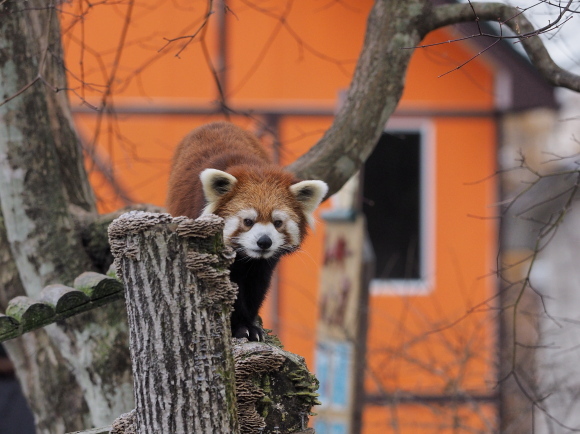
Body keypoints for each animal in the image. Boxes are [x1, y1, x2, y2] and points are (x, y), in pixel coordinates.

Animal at [165, 120, 328, 340]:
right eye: (248, 221)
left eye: (277, 222)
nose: (264, 241)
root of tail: (215, 123)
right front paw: (239, 326)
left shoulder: (263, 265)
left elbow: (256, 287)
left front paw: (249, 323)